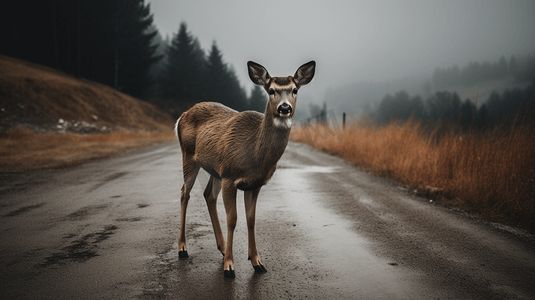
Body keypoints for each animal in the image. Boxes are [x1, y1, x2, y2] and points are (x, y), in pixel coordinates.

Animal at [176, 59, 316, 278]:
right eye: (271, 90)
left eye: (295, 90)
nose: (284, 108)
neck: (255, 157)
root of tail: (181, 116)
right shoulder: (230, 177)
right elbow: (232, 219)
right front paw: (229, 267)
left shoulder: (254, 184)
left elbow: (251, 219)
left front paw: (257, 262)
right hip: (190, 156)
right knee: (184, 193)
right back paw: (182, 248)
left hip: (216, 169)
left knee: (208, 195)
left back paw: (222, 247)